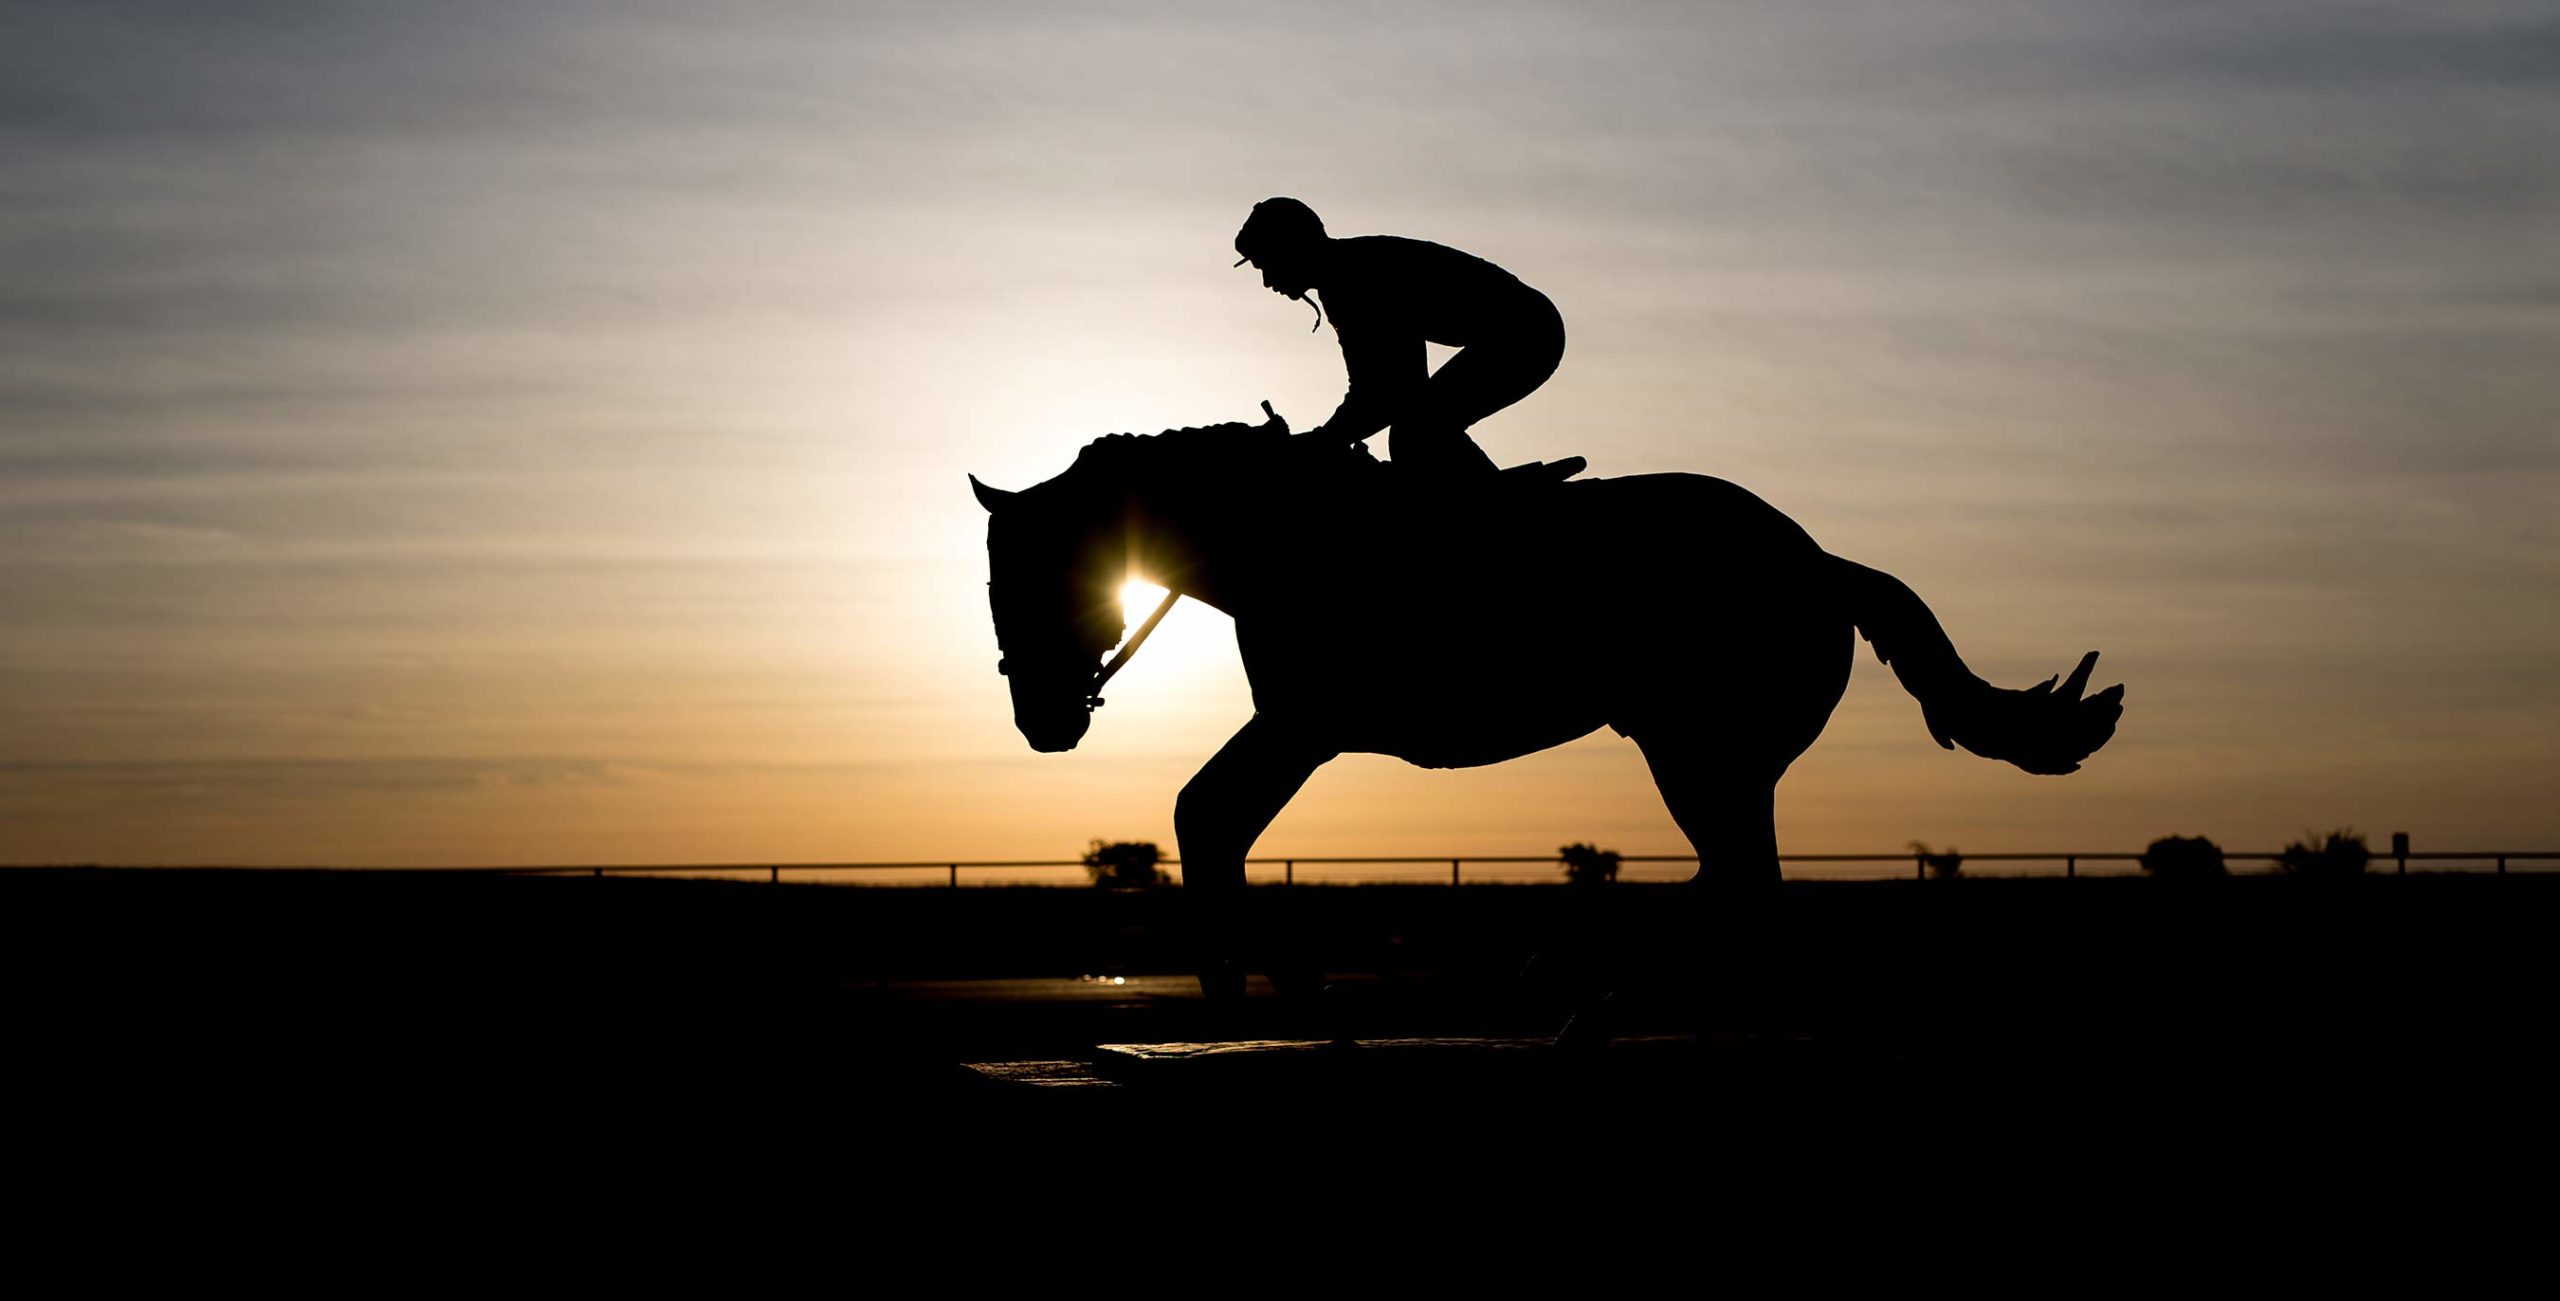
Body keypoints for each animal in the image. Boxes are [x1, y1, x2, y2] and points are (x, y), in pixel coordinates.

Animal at [967, 412, 2129, 998]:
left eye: (1021, 579)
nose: (1040, 719)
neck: (1278, 534)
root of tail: (1820, 562)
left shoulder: (1306, 724)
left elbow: (1207, 813)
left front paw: (1248, 980)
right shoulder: (1298, 726)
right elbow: (1207, 816)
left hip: (1701, 747)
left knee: (1737, 883)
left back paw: (1574, 981)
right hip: (1713, 755)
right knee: (1735, 882)